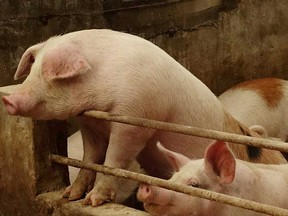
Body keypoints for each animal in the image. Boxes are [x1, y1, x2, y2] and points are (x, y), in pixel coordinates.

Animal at [2, 28, 286, 206]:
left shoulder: (135, 118)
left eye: (50, 74)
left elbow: (113, 160)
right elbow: (89, 159)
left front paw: (92, 201)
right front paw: (69, 196)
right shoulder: (90, 123)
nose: (8, 99)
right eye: (32, 70)